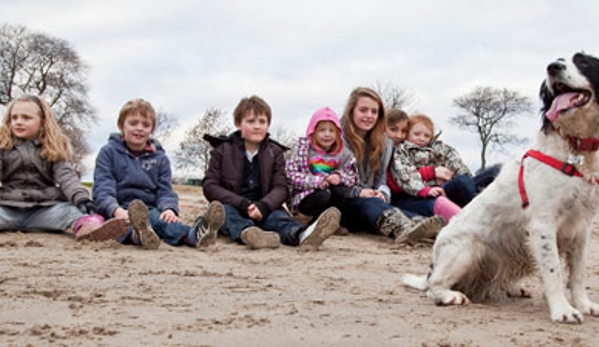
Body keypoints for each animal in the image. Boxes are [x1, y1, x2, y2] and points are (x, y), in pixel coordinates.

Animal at [406, 53, 599, 324]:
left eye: (583, 62)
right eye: (558, 61)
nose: (552, 67)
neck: (576, 150)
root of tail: (432, 264)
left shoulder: (582, 228)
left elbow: (578, 274)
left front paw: (583, 304)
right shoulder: (543, 225)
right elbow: (554, 271)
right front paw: (563, 310)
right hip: (468, 248)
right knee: (434, 286)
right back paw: (449, 296)